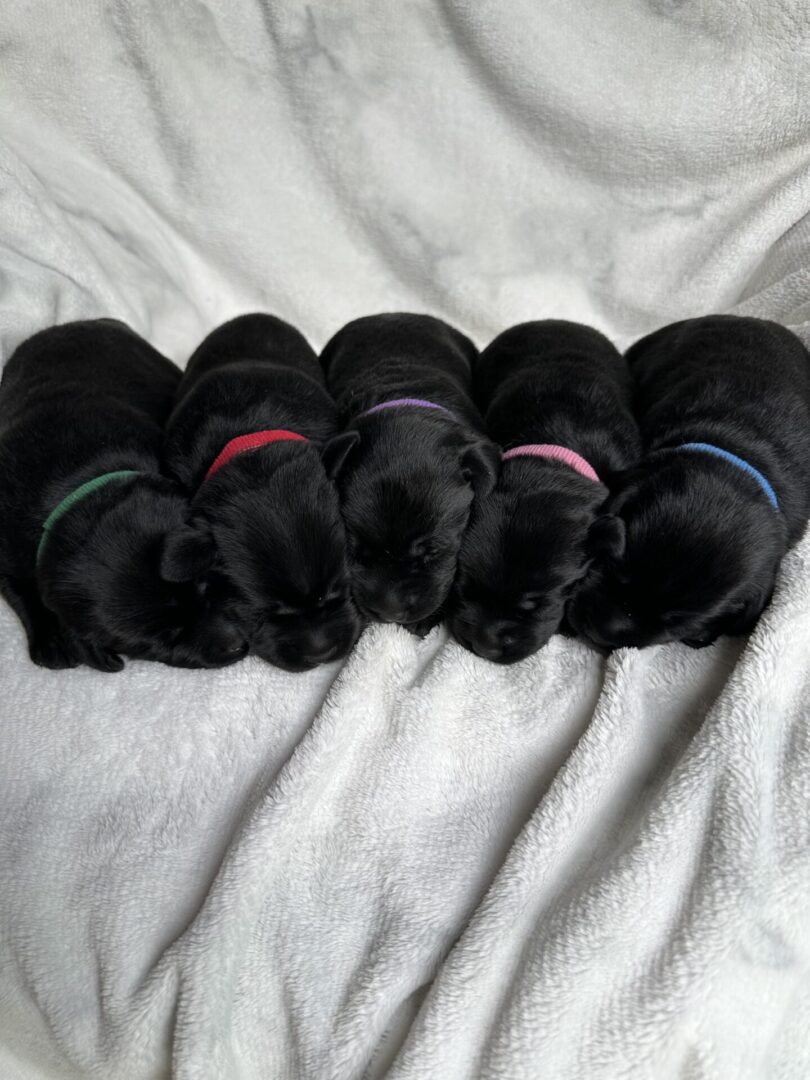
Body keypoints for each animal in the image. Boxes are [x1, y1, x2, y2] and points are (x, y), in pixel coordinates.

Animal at [0, 315, 247, 665]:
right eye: (162, 641)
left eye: (207, 584)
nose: (238, 646)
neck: (73, 488)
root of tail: (91, 320)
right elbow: (19, 589)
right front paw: (53, 640)